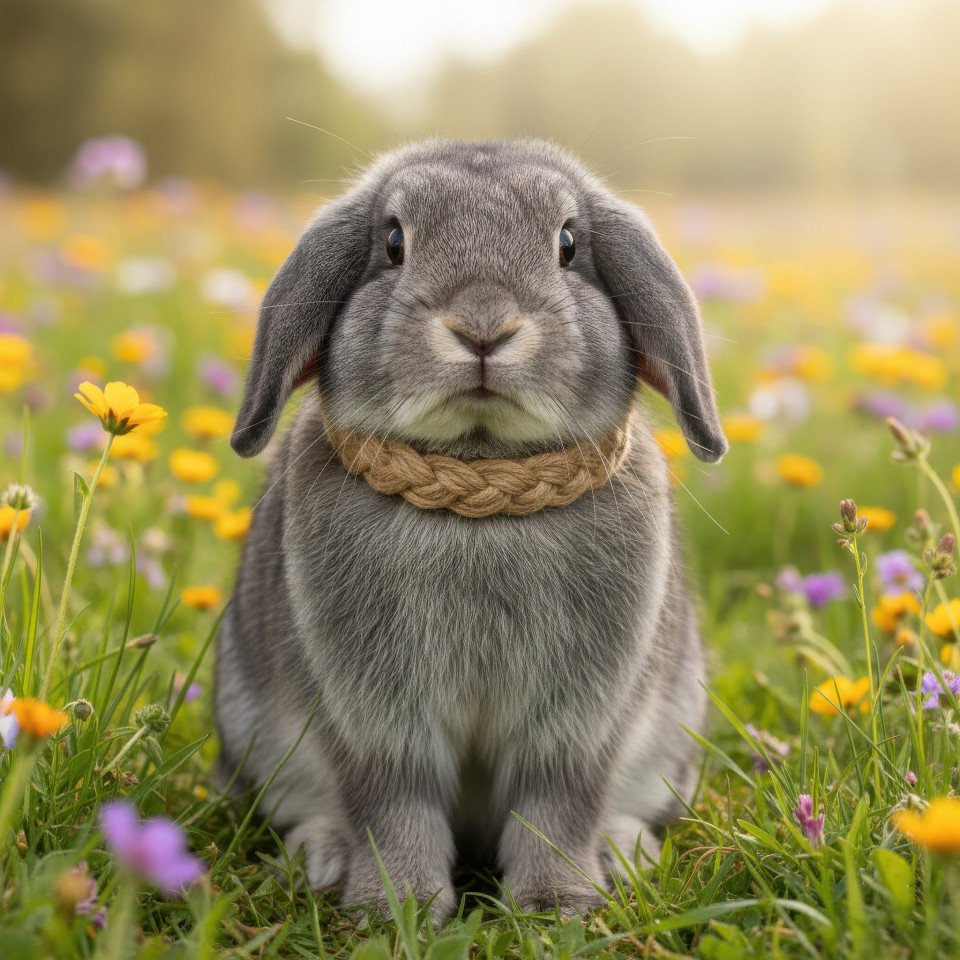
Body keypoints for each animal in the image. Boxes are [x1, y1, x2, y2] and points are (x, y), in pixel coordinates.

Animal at [215, 138, 727, 921]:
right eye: (393, 243)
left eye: (568, 244)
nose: (484, 328)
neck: (481, 492)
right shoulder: (380, 724)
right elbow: (394, 803)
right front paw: (396, 907)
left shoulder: (573, 729)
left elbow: (556, 806)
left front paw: (554, 904)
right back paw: (321, 858)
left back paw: (624, 855)